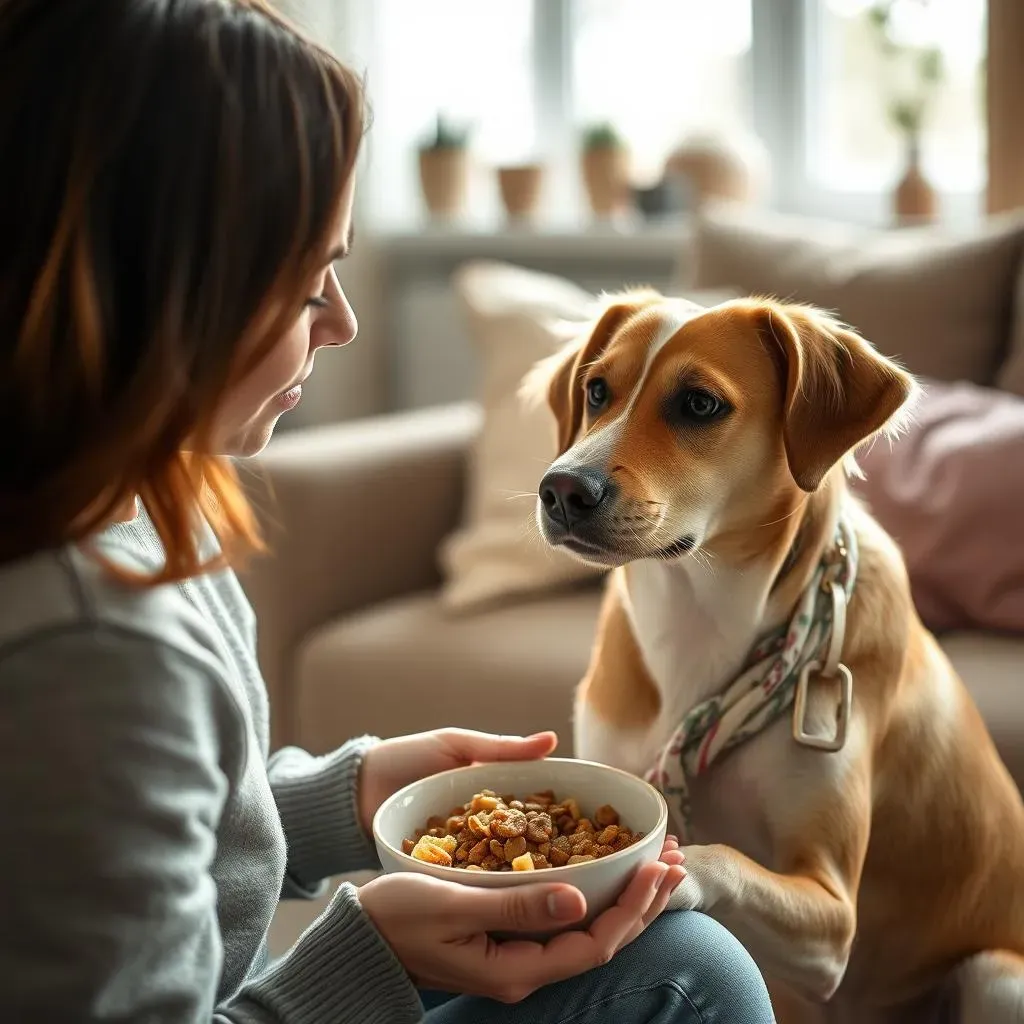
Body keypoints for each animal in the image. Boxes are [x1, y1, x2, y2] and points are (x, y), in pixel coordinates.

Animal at [528, 292, 1024, 1019]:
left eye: (699, 404)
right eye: (596, 390)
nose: (562, 488)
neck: (698, 617)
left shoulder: (833, 917)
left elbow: (722, 858)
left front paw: (668, 873)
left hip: (996, 974)